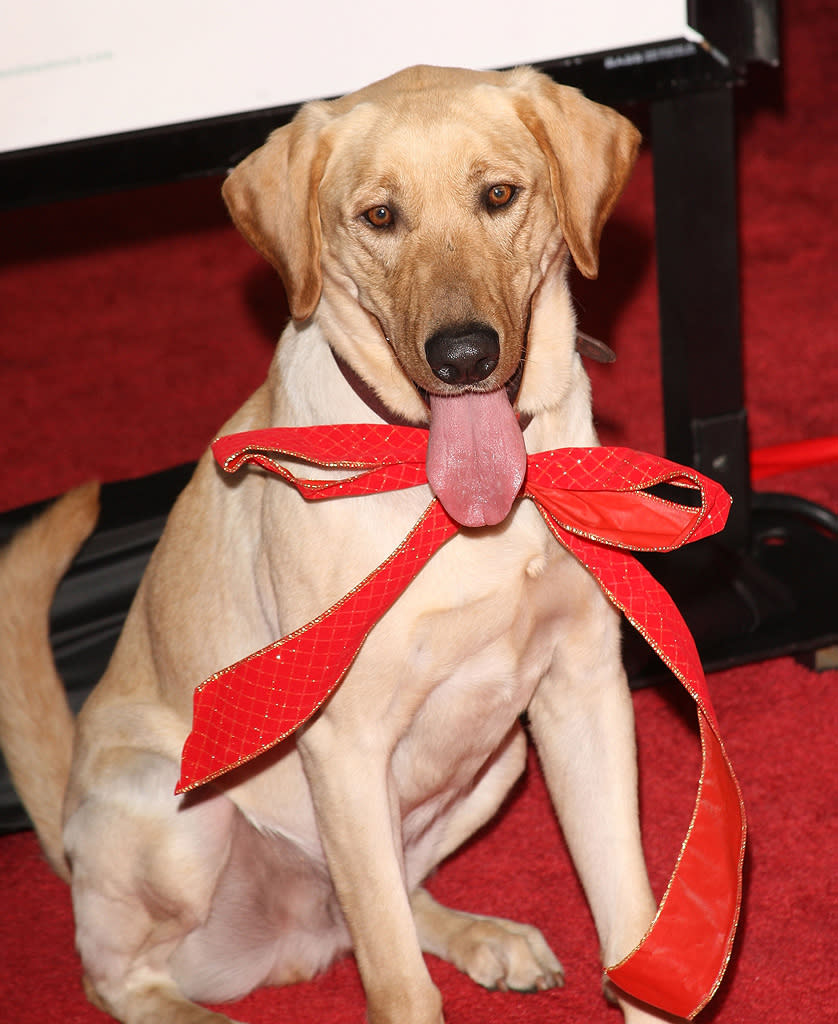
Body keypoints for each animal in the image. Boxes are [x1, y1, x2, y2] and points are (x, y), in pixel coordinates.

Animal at [0, 66, 672, 1024]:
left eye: (498, 195)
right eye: (379, 215)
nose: (464, 356)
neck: (453, 500)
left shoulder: (584, 692)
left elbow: (630, 923)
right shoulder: (345, 744)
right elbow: (399, 989)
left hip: (497, 760)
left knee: (389, 904)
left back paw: (482, 937)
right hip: (178, 808)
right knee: (119, 975)